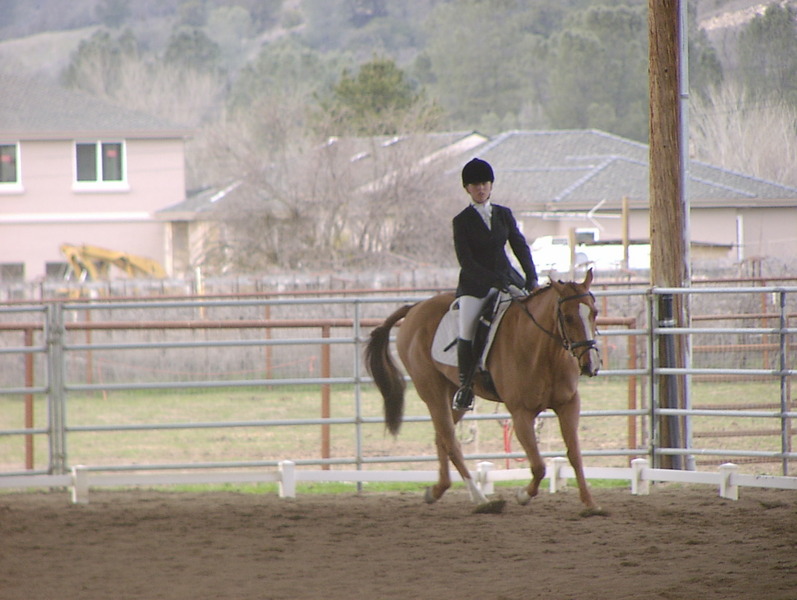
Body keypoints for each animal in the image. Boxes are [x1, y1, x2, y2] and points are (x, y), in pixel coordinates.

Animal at [365, 269, 601, 513]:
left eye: (594, 312)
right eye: (568, 317)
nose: (590, 365)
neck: (544, 352)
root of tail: (415, 308)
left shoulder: (568, 405)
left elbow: (575, 455)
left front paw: (590, 503)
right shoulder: (521, 414)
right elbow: (538, 466)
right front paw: (523, 495)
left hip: (455, 396)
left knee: (441, 438)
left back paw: (438, 490)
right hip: (432, 391)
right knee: (451, 441)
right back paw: (482, 500)